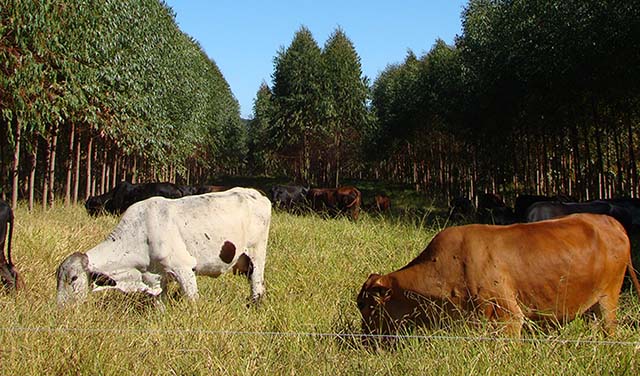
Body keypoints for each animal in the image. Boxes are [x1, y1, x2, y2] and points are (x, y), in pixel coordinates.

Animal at [56, 187, 272, 306]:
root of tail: (256, 193)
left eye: (73, 278)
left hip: (257, 254)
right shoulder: (158, 278)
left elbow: (193, 302)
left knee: (257, 285)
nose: (60, 309)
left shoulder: (184, 268)